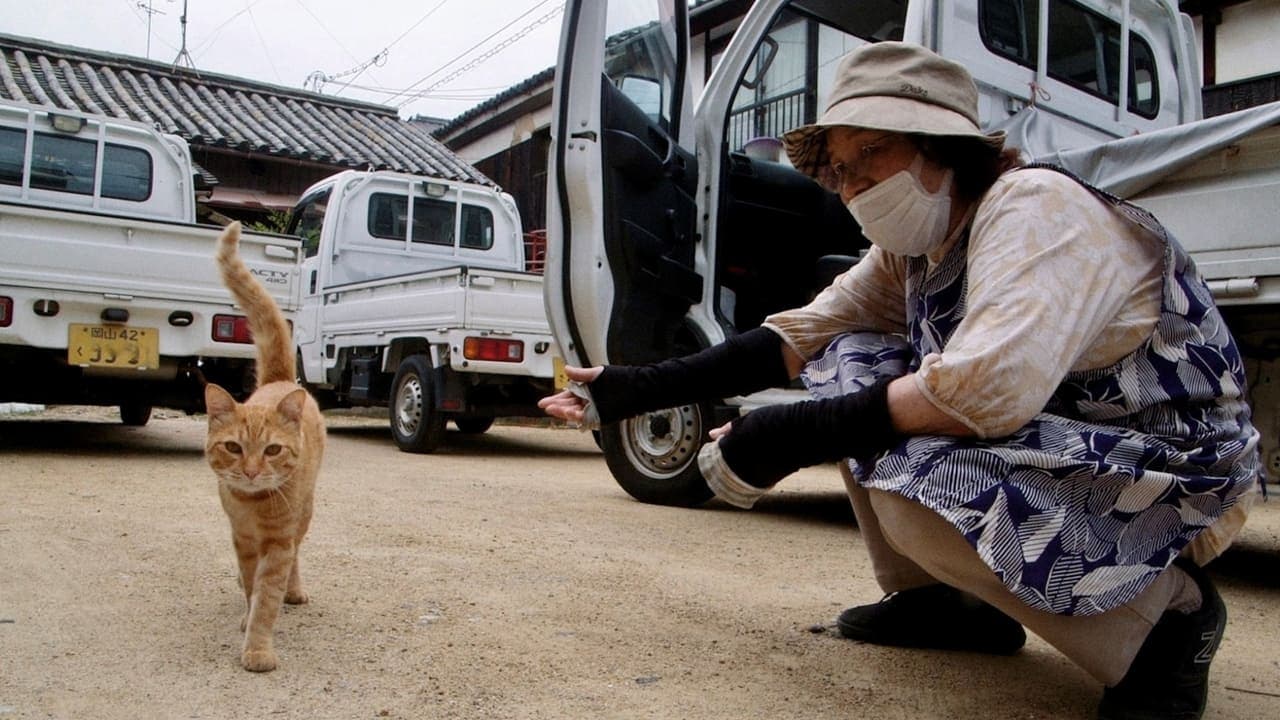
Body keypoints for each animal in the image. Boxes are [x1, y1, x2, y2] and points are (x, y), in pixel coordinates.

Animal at [204, 221, 325, 671]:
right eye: (234, 448)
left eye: (272, 450)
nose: (253, 471)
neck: (253, 506)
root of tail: (279, 380)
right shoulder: (241, 538)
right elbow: (249, 585)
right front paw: (247, 616)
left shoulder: (277, 543)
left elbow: (267, 595)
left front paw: (257, 645)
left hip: (304, 513)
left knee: (297, 555)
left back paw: (294, 588)